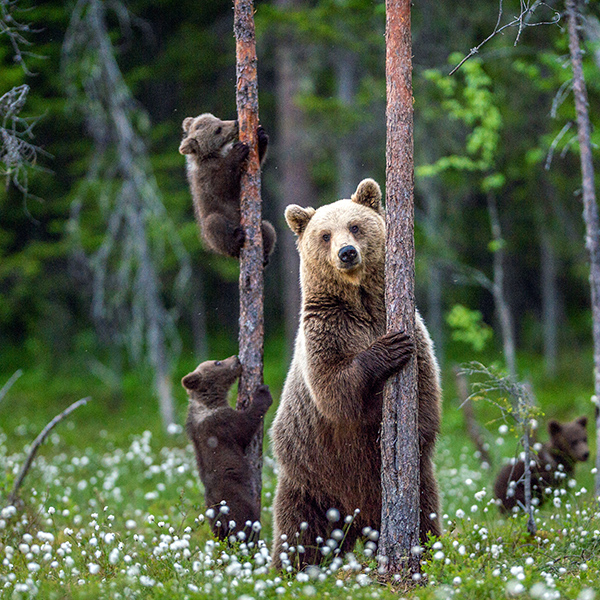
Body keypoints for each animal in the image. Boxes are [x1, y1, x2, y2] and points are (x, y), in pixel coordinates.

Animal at [179, 112, 278, 262]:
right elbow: (222, 184)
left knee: (268, 228)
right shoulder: (206, 176)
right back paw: (237, 240)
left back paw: (265, 255)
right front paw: (238, 150)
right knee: (214, 224)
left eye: (218, 119)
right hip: (212, 227)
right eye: (218, 129)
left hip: (261, 226)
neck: (214, 154)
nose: (236, 122)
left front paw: (261, 135)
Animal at [182, 354, 274, 540]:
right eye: (217, 362)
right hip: (236, 501)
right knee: (245, 523)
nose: (236, 357)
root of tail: (219, 510)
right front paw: (263, 392)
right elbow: (245, 425)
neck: (209, 402)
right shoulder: (222, 424)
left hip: (212, 518)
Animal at [270, 177, 442, 568]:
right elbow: (335, 390)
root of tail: (358, 519)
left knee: (425, 515)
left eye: (355, 226)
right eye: (324, 235)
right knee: (298, 532)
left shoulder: (412, 327)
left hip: (415, 486)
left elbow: (426, 392)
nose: (347, 253)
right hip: (311, 478)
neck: (360, 301)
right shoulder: (326, 331)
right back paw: (287, 570)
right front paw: (388, 349)